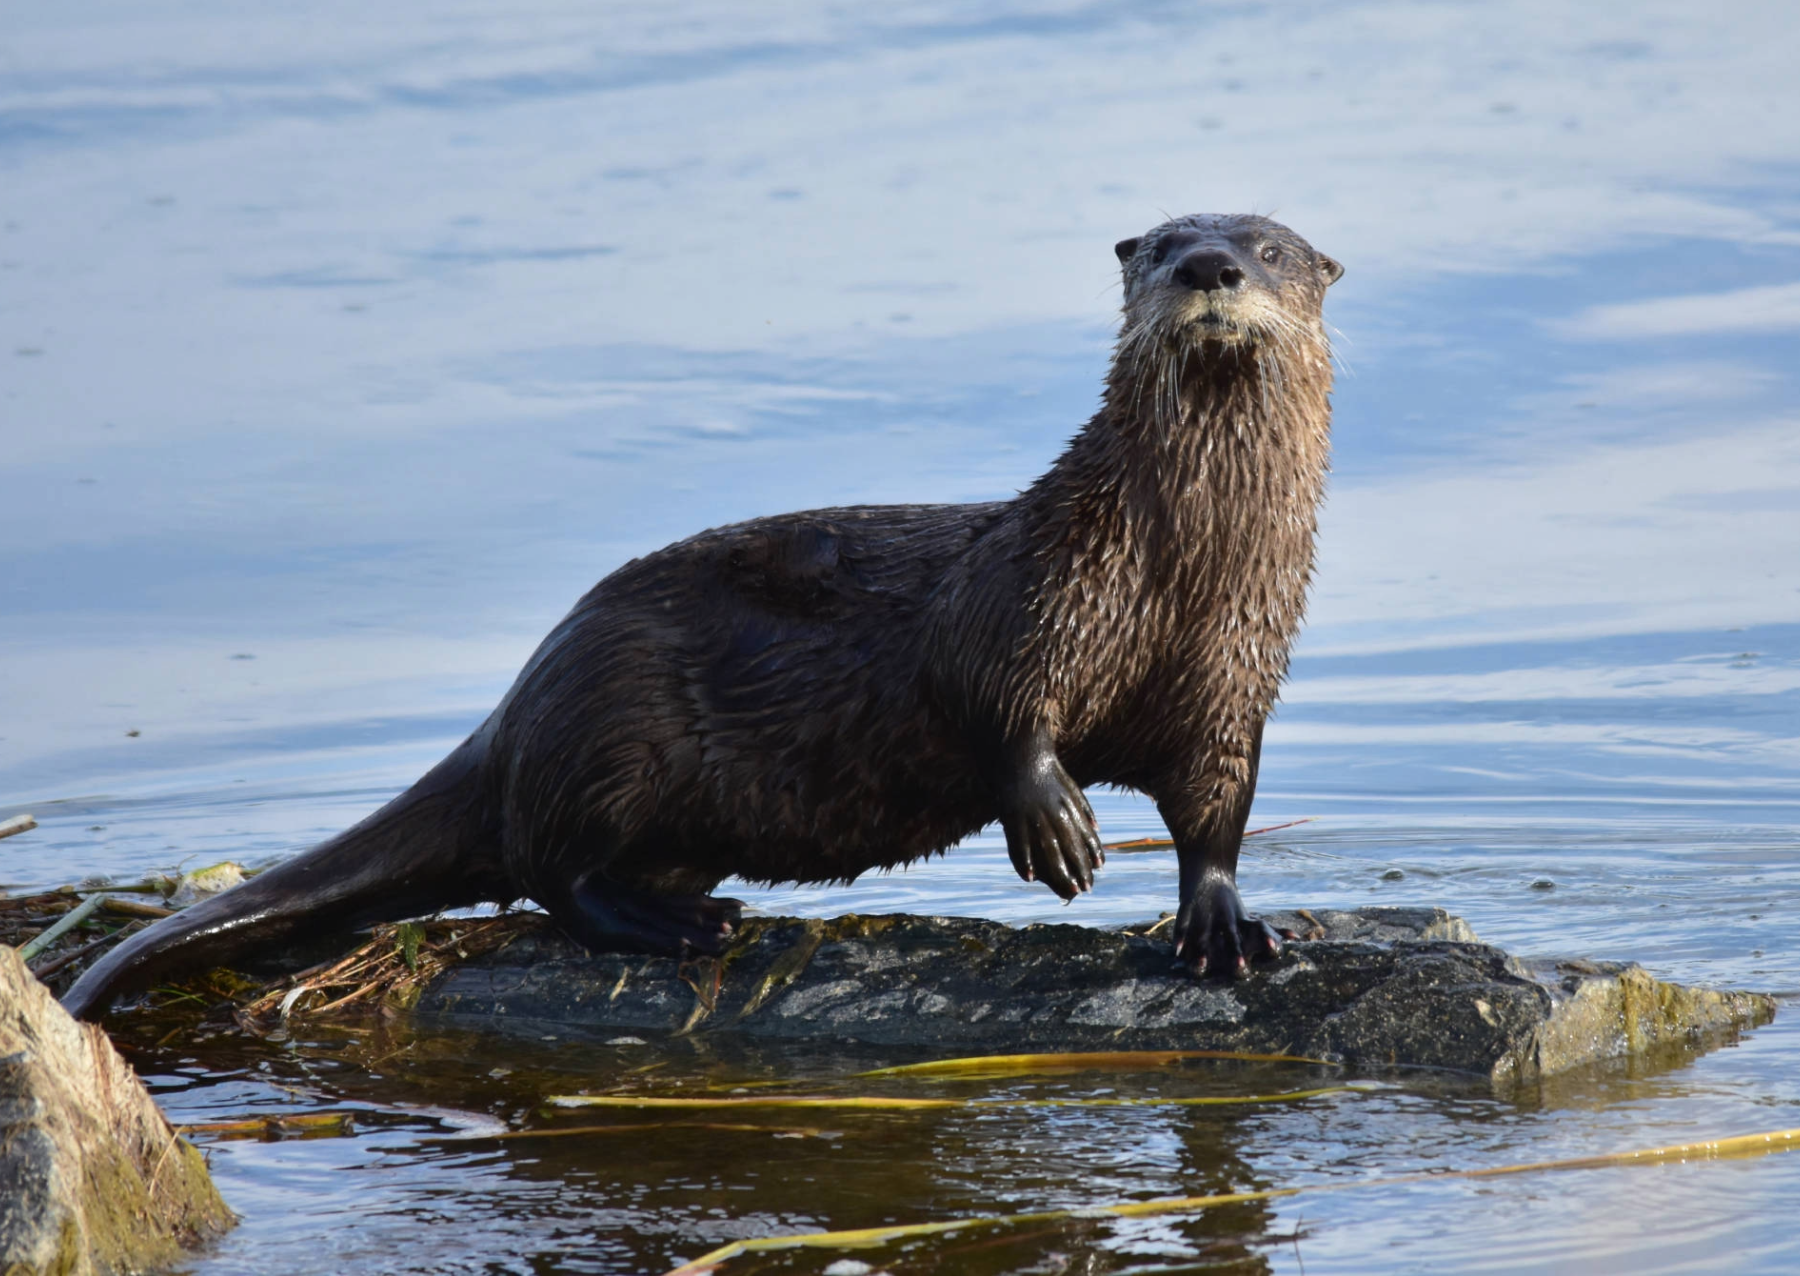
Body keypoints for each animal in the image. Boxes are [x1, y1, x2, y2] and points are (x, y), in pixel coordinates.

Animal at [63, 213, 1343, 1019]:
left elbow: (1217, 806)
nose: (1211, 266)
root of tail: (516, 707)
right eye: (1163, 244)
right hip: (615, 724)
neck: (1179, 574)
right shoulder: (1035, 590)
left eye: (1270, 247)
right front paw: (1058, 825)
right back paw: (677, 924)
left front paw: (1224, 926)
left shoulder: (1233, 672)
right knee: (550, 871)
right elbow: (990, 696)